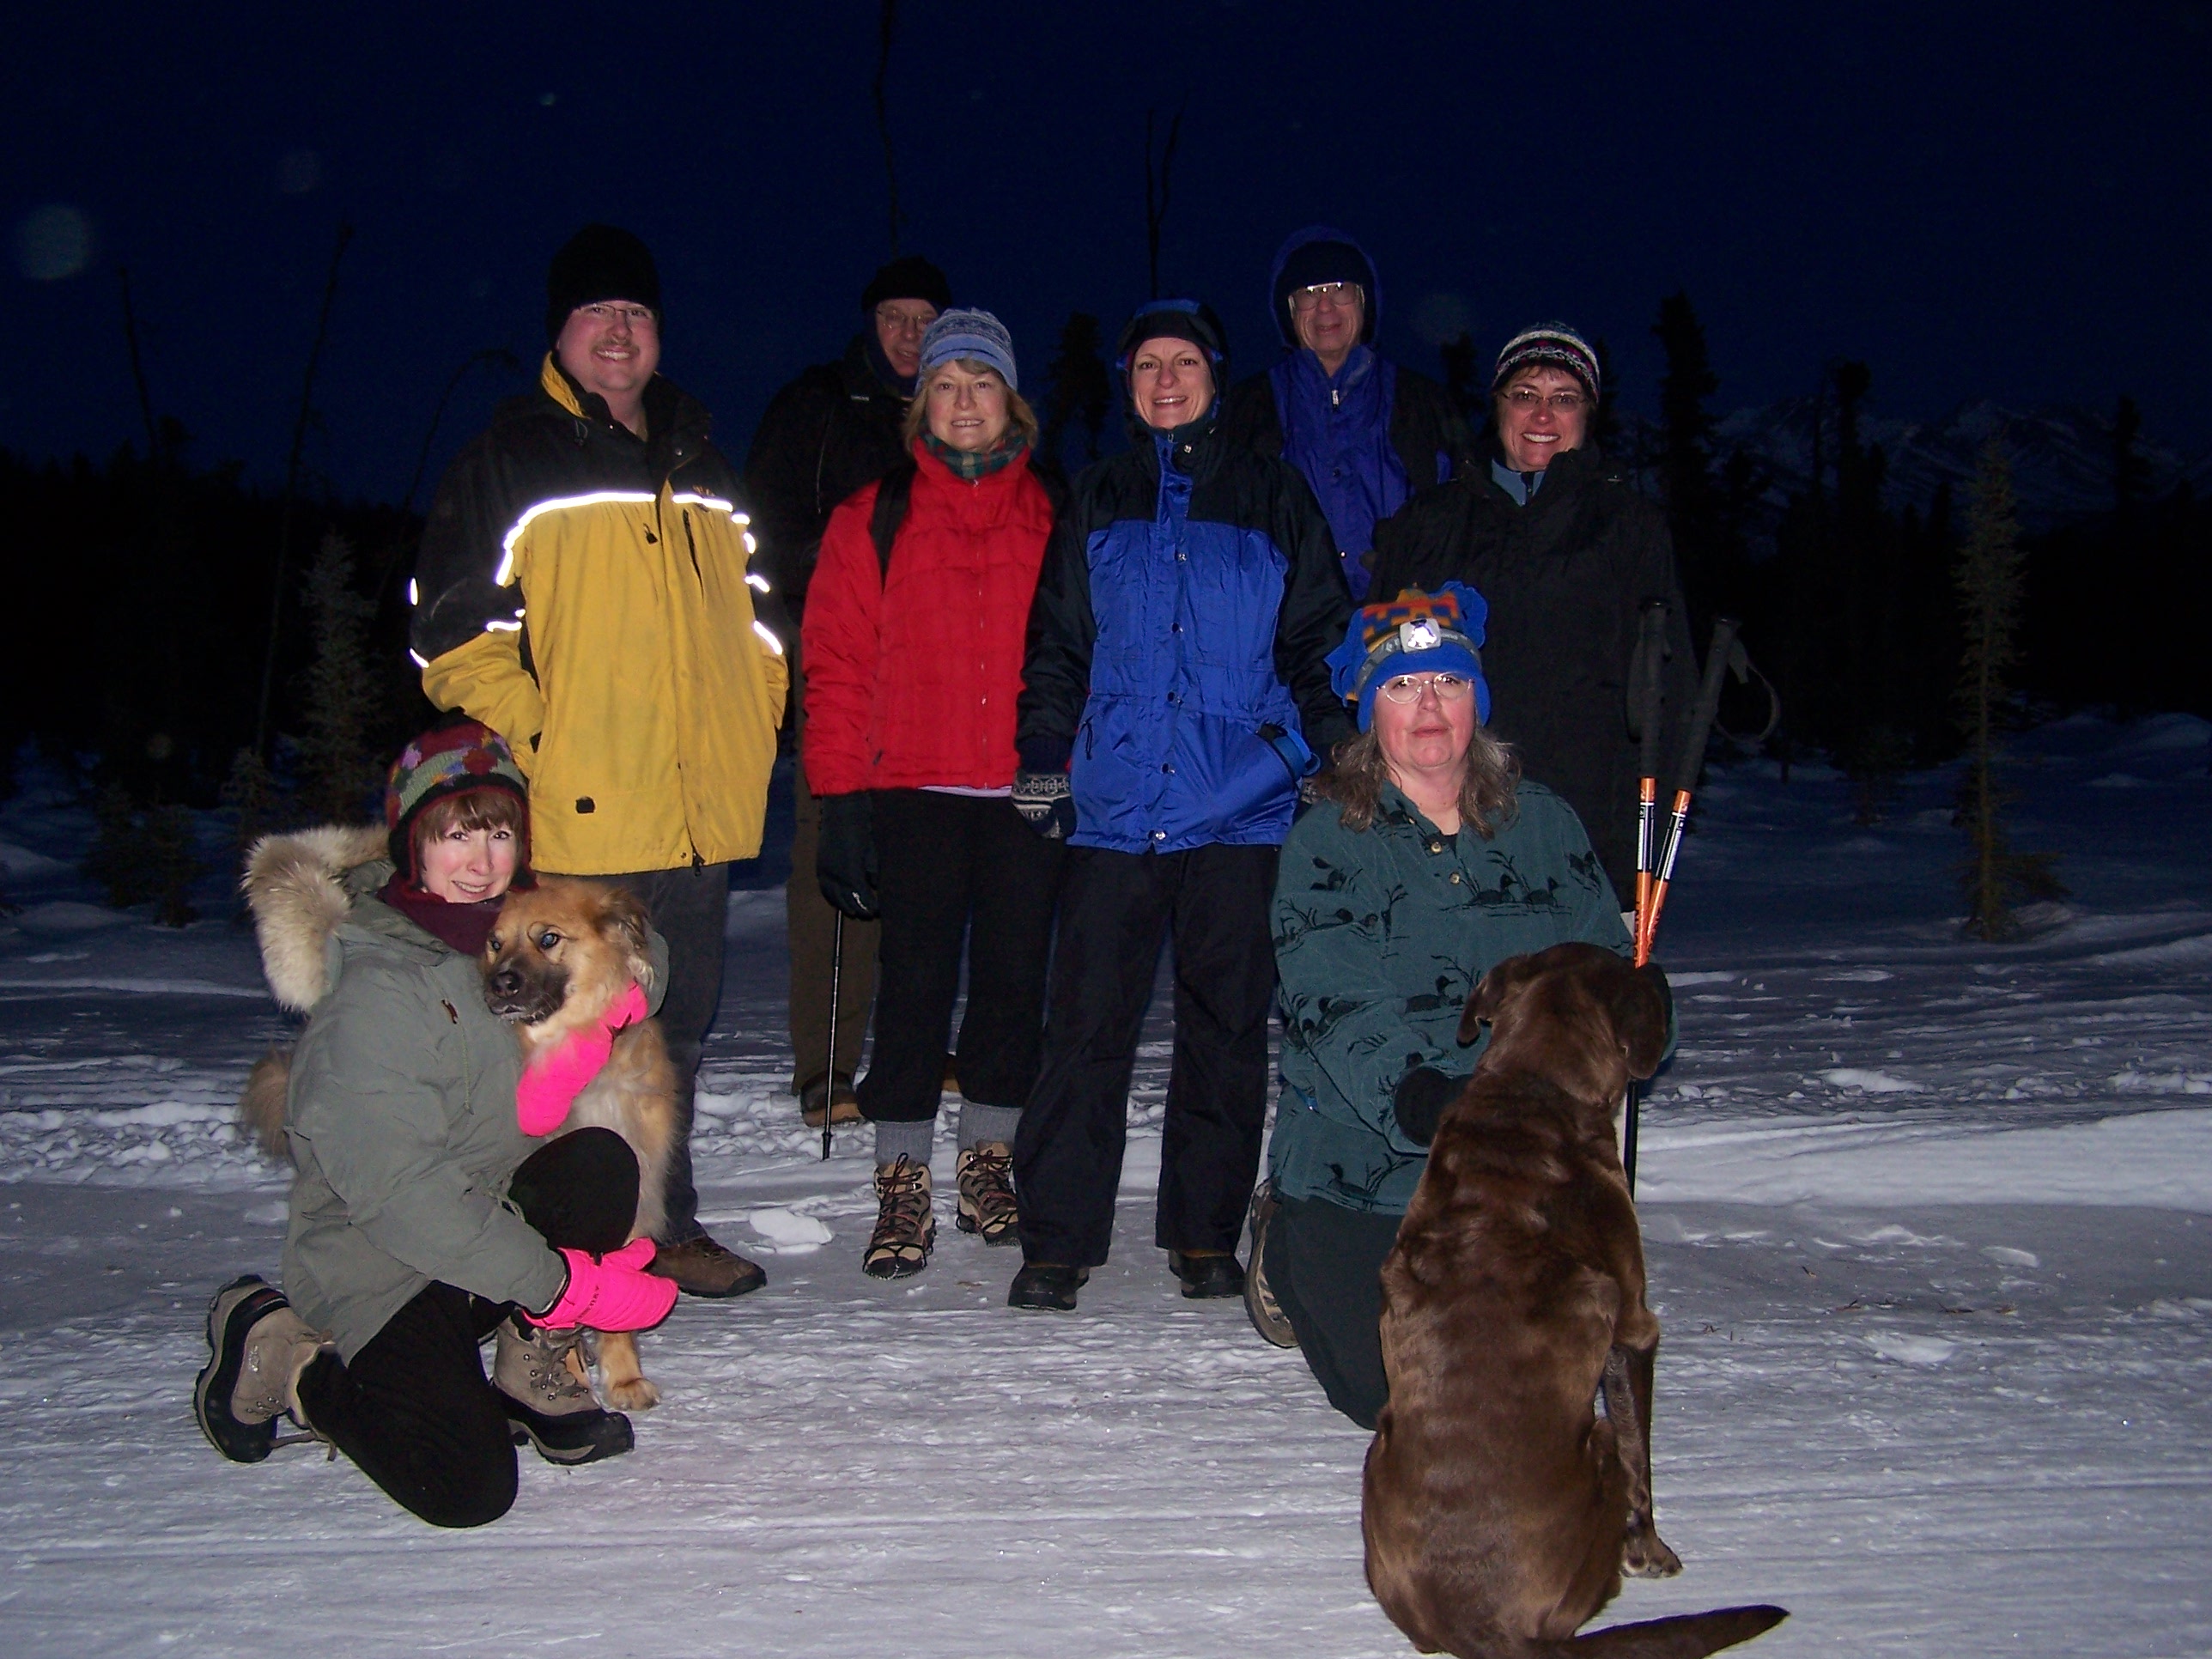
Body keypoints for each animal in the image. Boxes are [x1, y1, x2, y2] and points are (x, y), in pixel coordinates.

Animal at [1361, 942, 1785, 1659]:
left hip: (1376, 1452)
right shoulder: (1634, 1326)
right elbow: (1644, 1458)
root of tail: (1485, 1627)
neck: (1533, 1086)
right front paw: (1651, 1552)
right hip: (1598, 1445)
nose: (1656, 967)